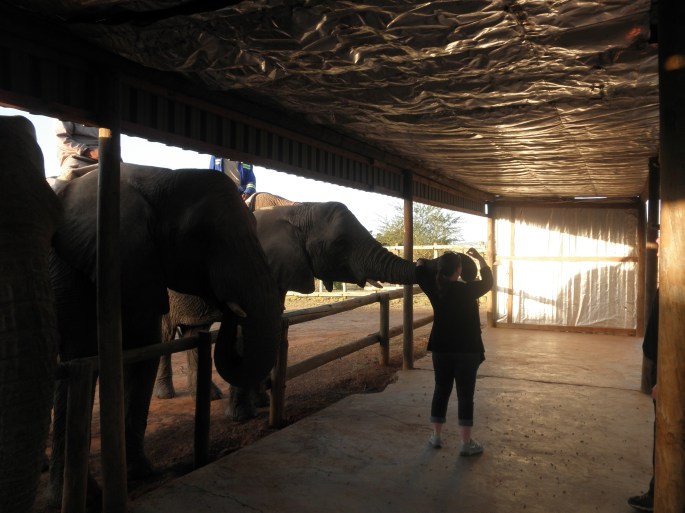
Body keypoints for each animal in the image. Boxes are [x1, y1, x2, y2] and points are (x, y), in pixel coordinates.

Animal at [47, 163, 283, 508]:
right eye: (200, 236)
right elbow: (82, 361)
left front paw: (142, 473)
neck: (157, 177)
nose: (226, 302)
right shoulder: (74, 269)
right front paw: (87, 498)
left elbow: (143, 354)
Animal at [155, 200, 418, 420]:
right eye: (340, 243)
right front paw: (242, 416)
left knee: (194, 332)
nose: (424, 264)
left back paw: (209, 396)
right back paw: (165, 394)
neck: (295, 210)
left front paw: (261, 402)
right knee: (165, 334)